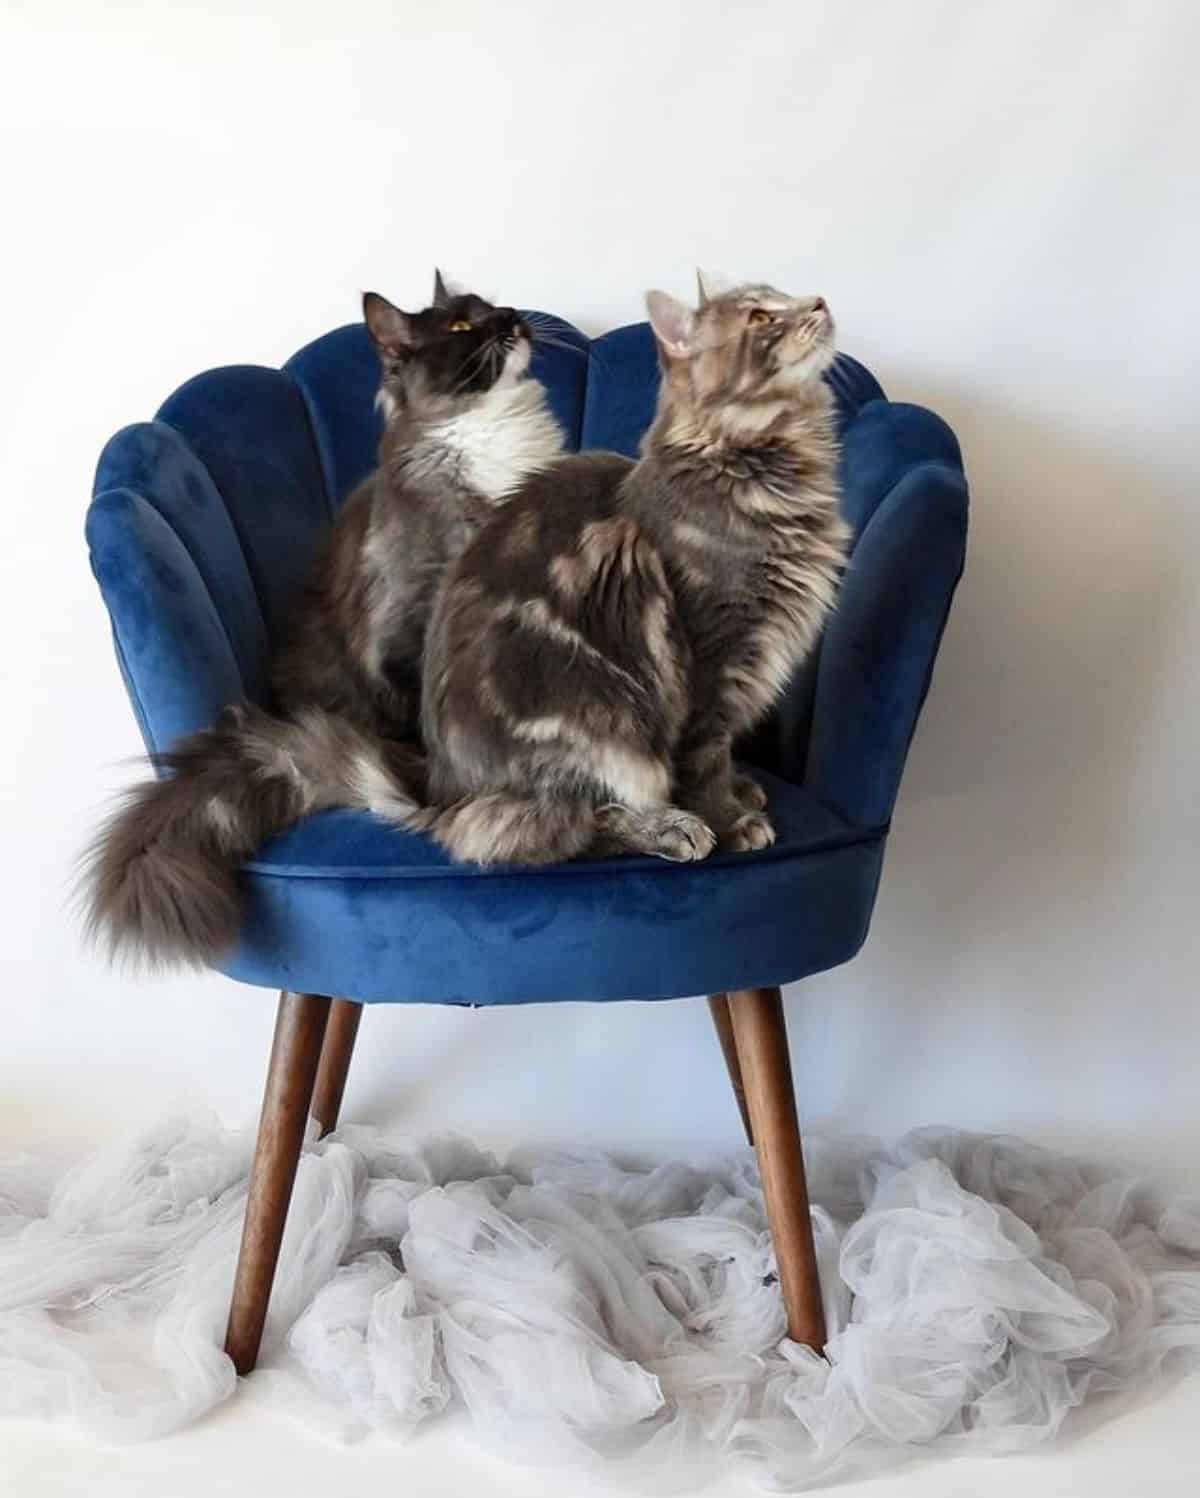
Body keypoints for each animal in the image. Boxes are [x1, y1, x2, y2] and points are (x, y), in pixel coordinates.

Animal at [416, 281, 844, 868]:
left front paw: (740, 790)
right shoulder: (715, 657)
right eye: (761, 317)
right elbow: (706, 757)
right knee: (560, 826)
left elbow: (726, 753)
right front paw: (730, 819)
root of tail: (442, 793)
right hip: (595, 722)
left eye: (783, 294)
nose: (820, 302)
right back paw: (675, 829)